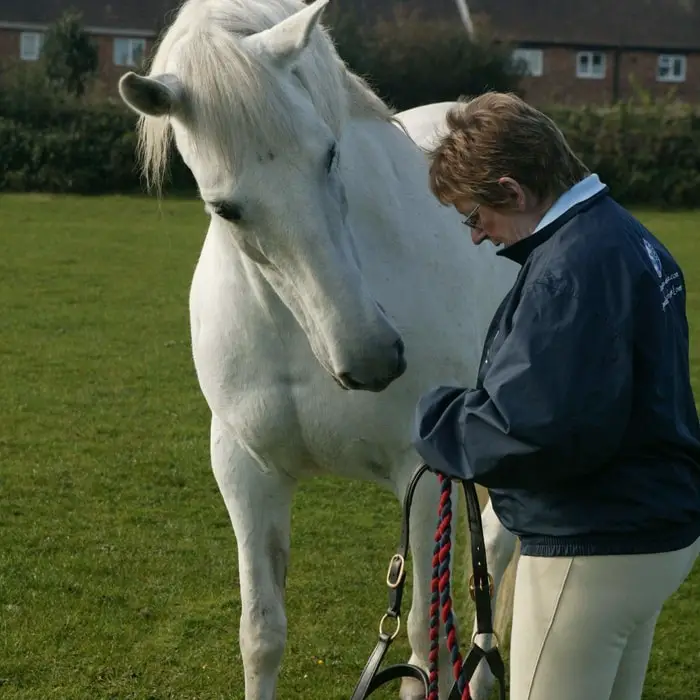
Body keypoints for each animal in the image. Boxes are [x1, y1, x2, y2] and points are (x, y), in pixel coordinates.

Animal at [117, 0, 520, 696]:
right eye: (225, 208)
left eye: (329, 155)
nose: (372, 358)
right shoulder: (247, 473)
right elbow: (261, 635)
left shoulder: (423, 479)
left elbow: (423, 646)